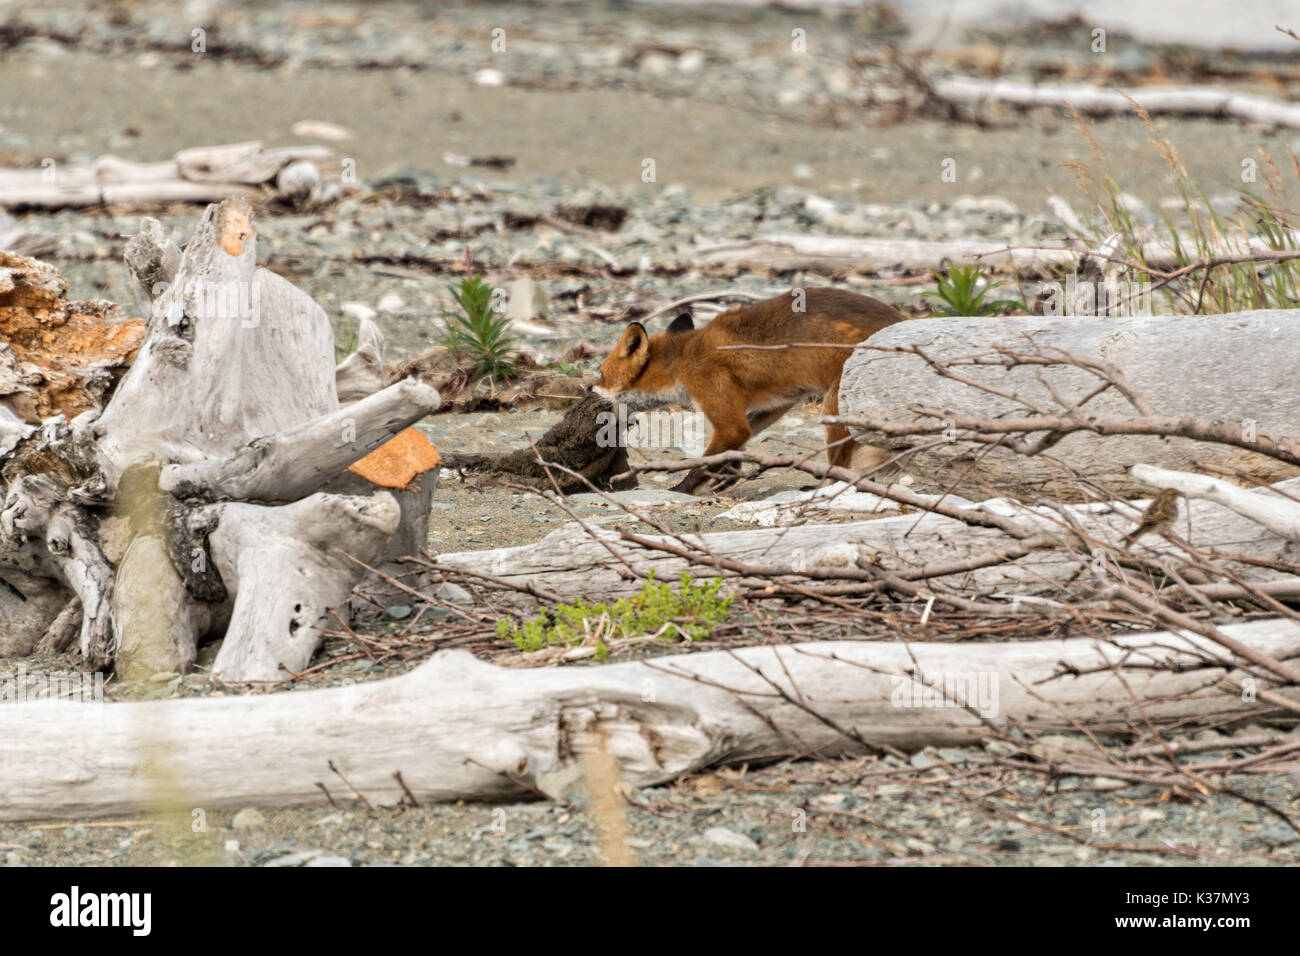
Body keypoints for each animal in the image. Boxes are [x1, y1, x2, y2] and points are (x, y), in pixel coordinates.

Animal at [595, 286, 909, 494]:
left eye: (600, 373)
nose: (590, 387)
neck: (684, 359)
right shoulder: (777, 402)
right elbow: (738, 445)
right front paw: (728, 478)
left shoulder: (712, 390)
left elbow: (709, 459)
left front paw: (682, 489)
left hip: (834, 408)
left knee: (840, 468)